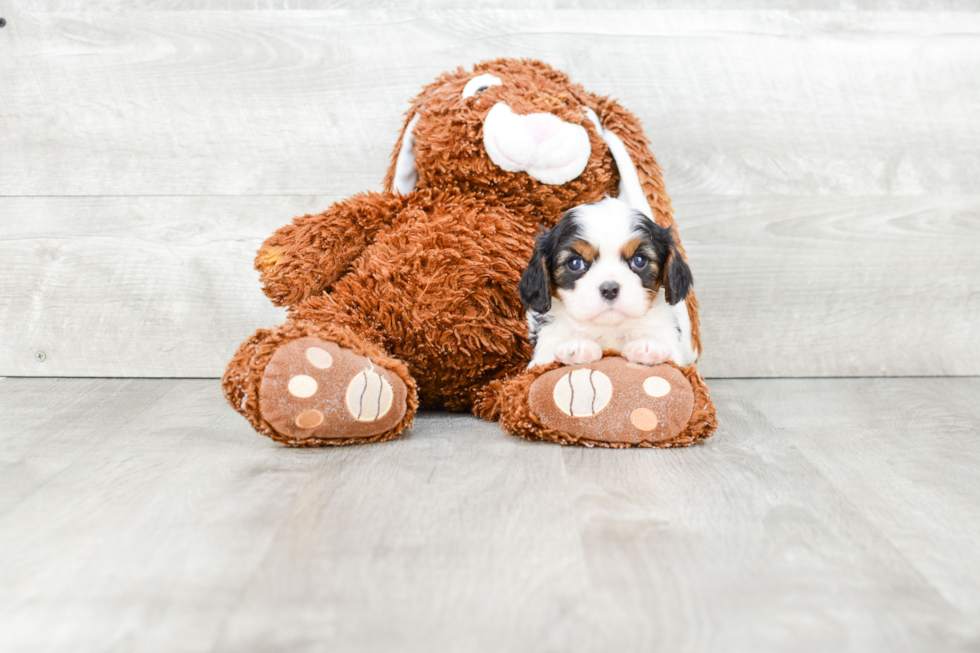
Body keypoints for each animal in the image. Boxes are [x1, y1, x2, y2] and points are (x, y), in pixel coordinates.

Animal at [520, 196, 696, 366]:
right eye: (575, 263)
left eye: (639, 260)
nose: (610, 289)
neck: (610, 329)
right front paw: (577, 345)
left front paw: (650, 345)